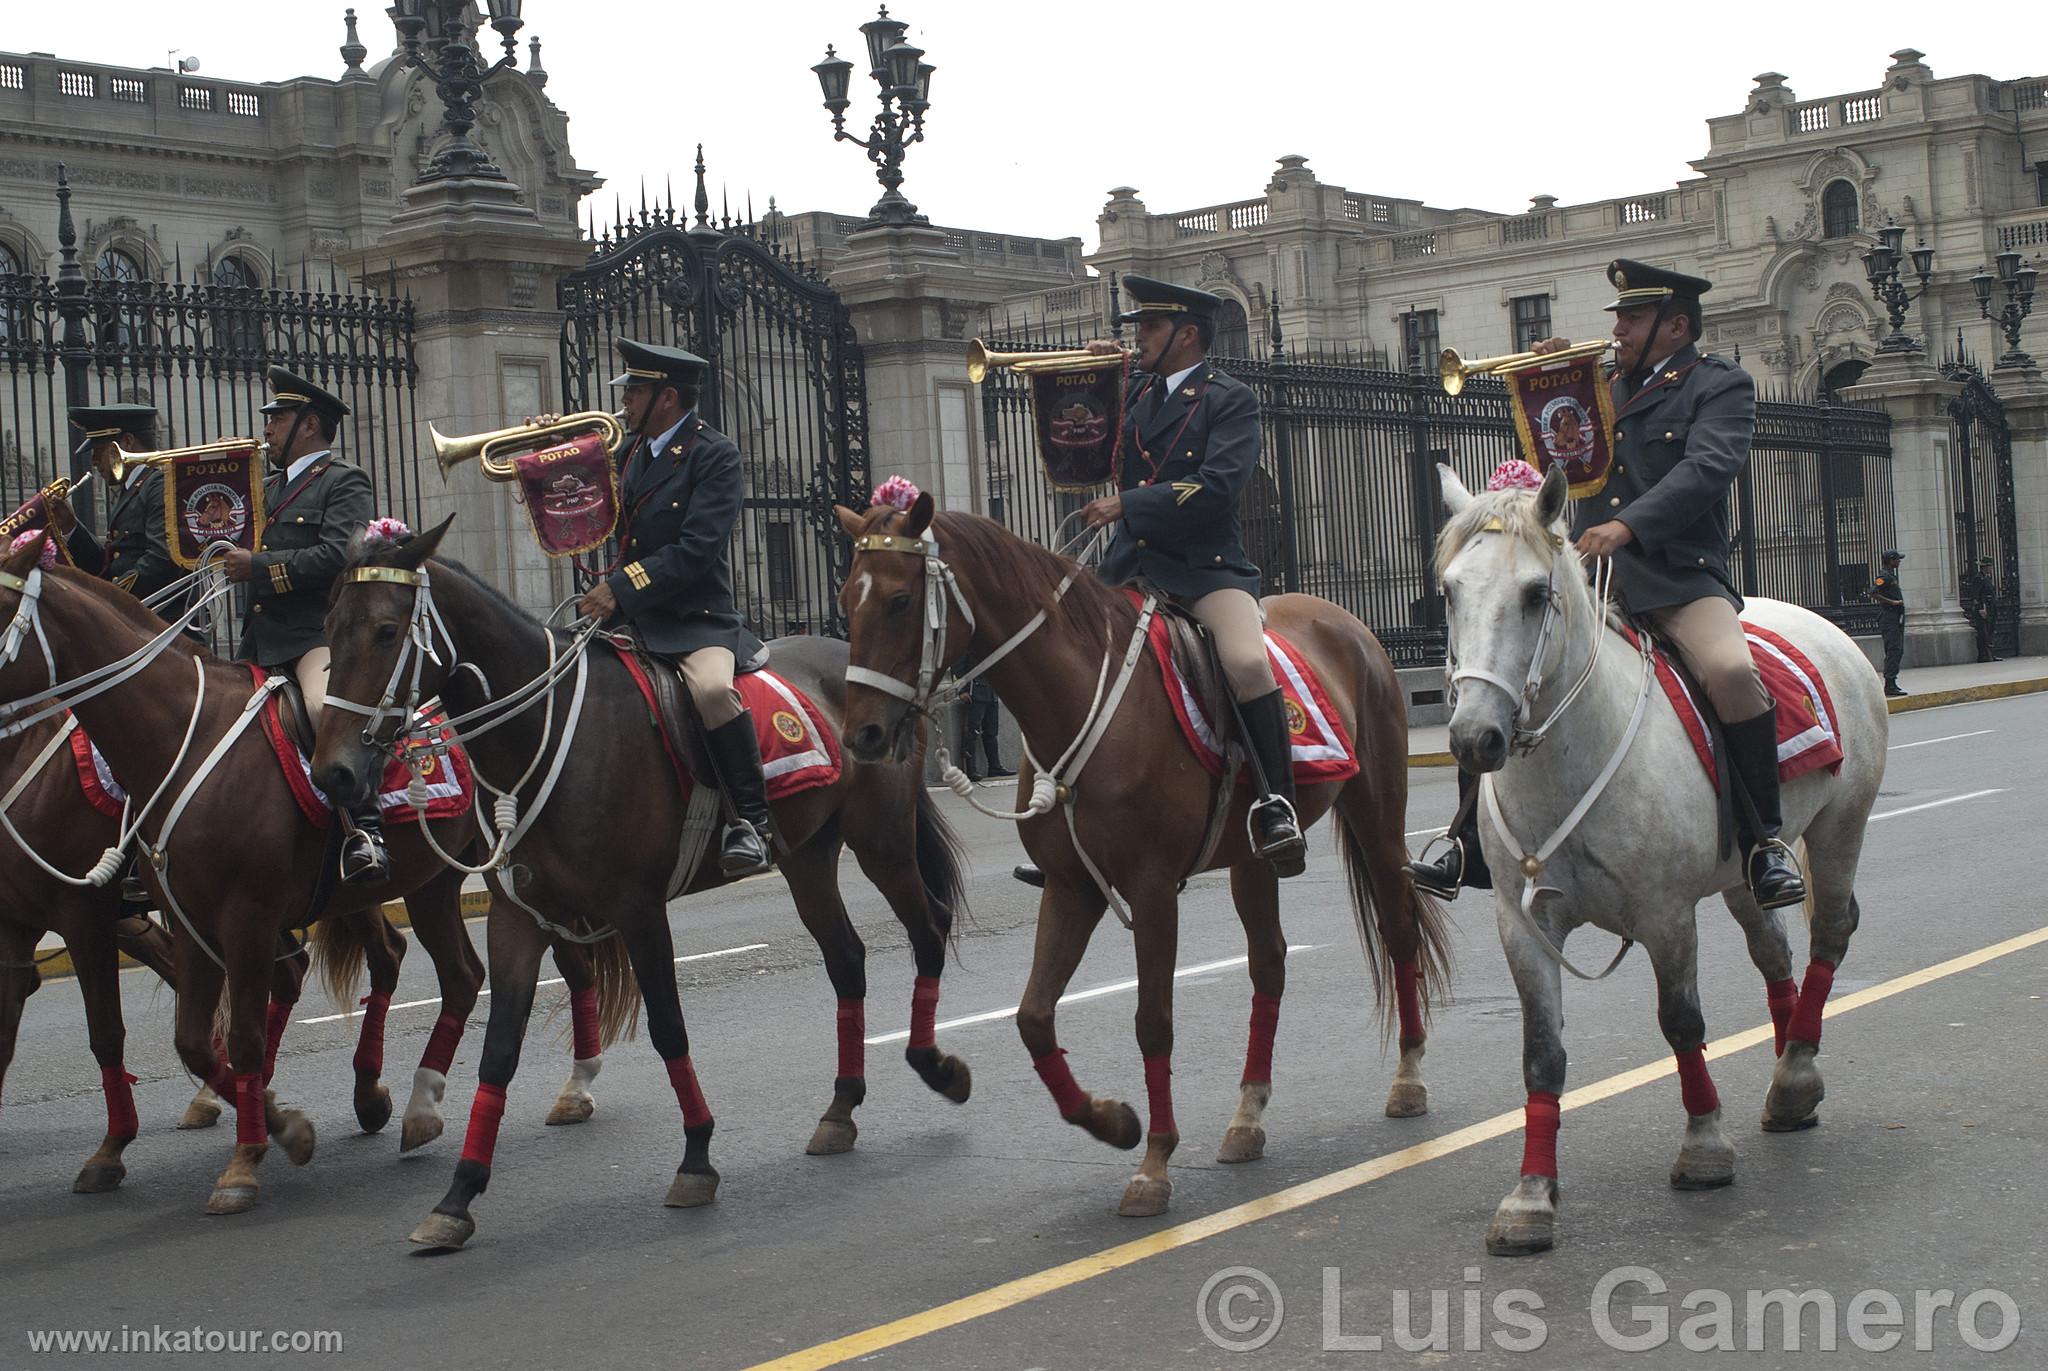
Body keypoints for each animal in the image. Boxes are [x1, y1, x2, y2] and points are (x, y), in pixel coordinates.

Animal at [0, 541, 630, 1213]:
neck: (179, 741)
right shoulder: (167, 916)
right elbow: (188, 1037)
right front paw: (268, 1120)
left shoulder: (196, 917)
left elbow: (215, 1036)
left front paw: (253, 1152)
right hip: (427, 882)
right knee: (453, 974)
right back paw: (405, 1105)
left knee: (566, 963)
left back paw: (571, 1088)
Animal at [311, 520, 966, 1254]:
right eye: (330, 625)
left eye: (386, 630)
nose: (334, 772)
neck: (545, 732)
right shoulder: (520, 916)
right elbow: (498, 1051)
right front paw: (457, 1196)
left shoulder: (639, 909)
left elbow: (668, 1027)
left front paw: (697, 1158)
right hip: (807, 858)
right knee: (847, 958)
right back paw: (840, 1108)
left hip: (882, 841)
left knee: (928, 927)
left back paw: (936, 1065)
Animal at [835, 493, 1458, 1221]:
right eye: (846, 599)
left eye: (901, 600)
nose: (861, 735)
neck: (1083, 697)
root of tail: (1347, 622)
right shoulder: (1071, 888)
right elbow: (1034, 1019)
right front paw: (1112, 1120)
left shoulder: (1153, 889)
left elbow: (1152, 1021)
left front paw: (1155, 1162)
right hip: (1251, 859)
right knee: (1269, 963)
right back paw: (1247, 1115)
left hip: (1377, 818)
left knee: (1398, 931)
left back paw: (1408, 1078)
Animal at [1441, 465, 1884, 1254]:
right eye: (1450, 591)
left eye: (1535, 593)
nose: (1473, 739)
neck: (1568, 762)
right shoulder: (1523, 926)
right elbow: (1540, 1049)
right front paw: (1532, 1195)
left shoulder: (1666, 915)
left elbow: (1681, 1022)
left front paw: (1704, 1146)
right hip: (1744, 870)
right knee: (1775, 954)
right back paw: (1788, 1078)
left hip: (1841, 829)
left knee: (1830, 934)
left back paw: (1797, 1068)